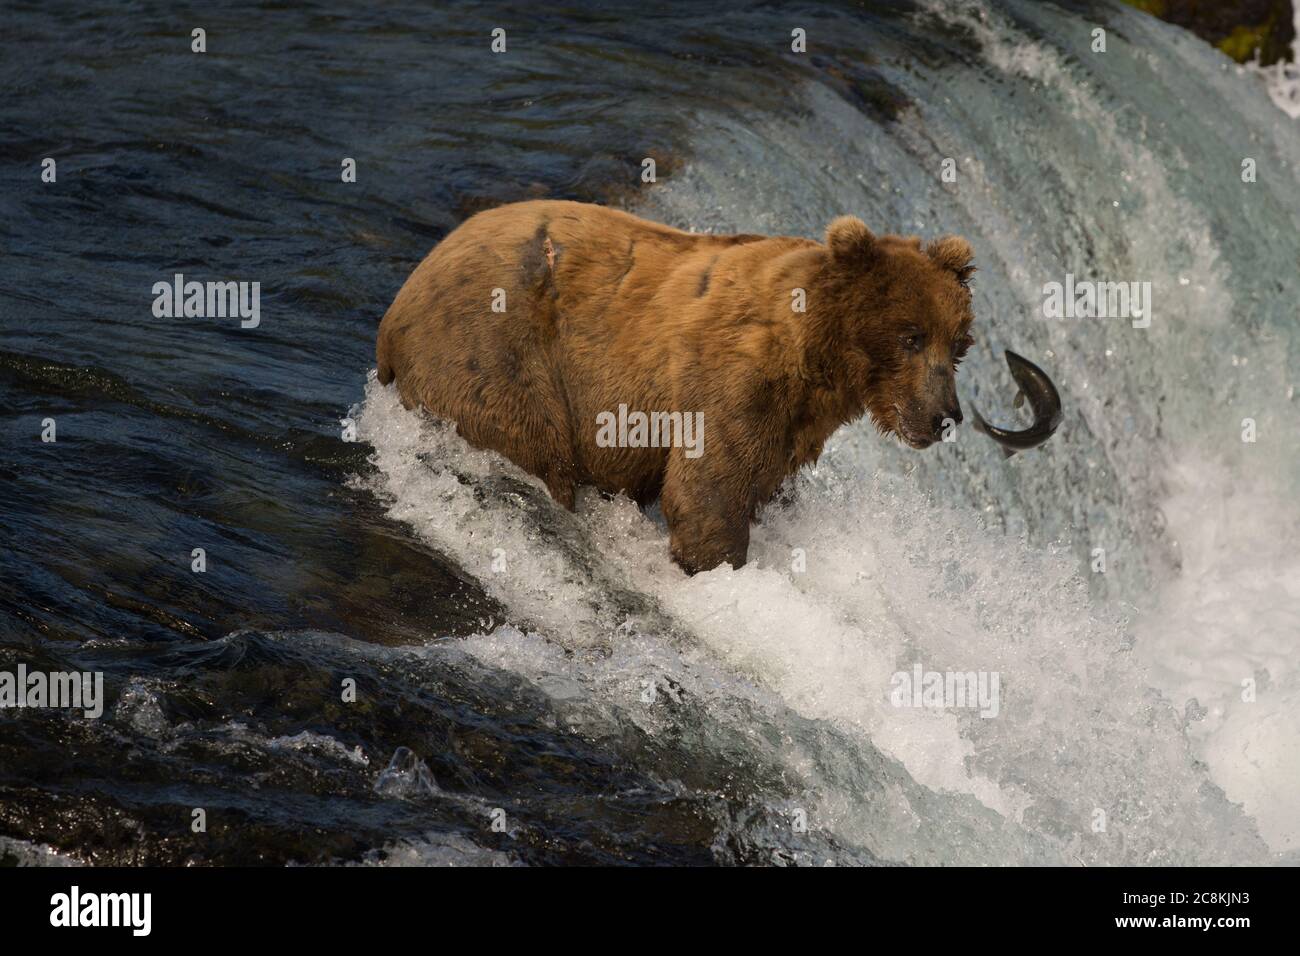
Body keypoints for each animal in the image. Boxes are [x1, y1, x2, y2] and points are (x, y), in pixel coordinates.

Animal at [377, 201, 977, 572]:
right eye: (911, 336)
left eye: (958, 344)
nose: (945, 415)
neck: (816, 360)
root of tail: (397, 307)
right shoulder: (731, 380)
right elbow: (710, 488)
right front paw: (719, 565)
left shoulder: (793, 423)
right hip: (499, 354)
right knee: (536, 447)